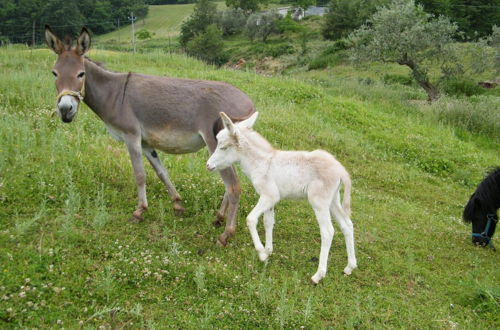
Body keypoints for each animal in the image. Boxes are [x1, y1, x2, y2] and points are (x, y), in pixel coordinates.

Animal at [206, 112, 356, 282]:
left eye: (223, 147)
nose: (208, 165)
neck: (262, 163)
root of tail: (341, 170)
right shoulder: (270, 200)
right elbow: (268, 222)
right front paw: (268, 250)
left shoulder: (269, 196)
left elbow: (251, 219)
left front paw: (261, 253)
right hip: (333, 201)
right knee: (347, 225)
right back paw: (349, 267)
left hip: (319, 202)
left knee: (328, 231)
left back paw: (318, 275)